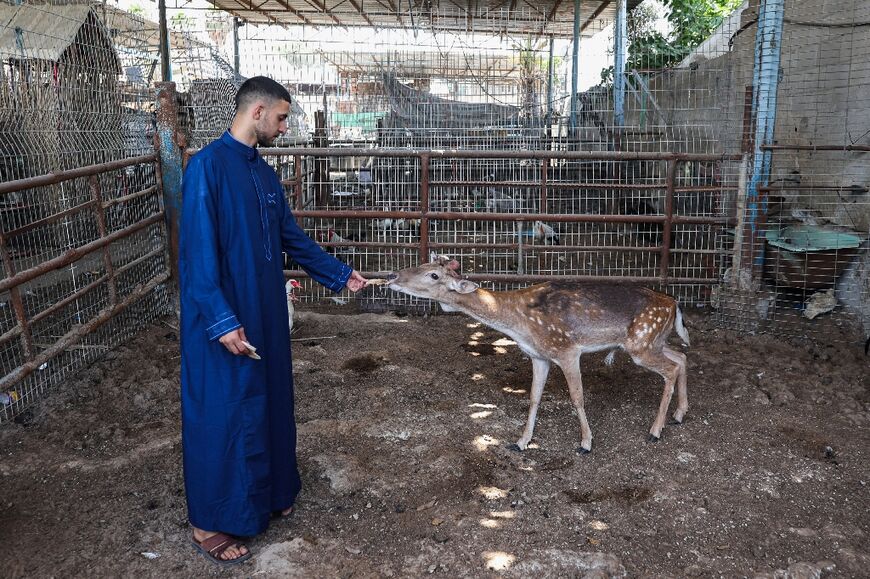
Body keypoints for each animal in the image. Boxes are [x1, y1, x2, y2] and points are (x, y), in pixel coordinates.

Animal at [388, 256, 696, 456]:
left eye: (433, 275)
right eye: (422, 265)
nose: (393, 276)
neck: (518, 324)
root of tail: (675, 303)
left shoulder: (566, 350)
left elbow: (577, 397)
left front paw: (586, 443)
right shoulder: (539, 356)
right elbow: (534, 397)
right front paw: (521, 442)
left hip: (642, 343)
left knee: (671, 368)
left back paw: (655, 430)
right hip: (651, 342)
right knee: (681, 356)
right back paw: (679, 414)